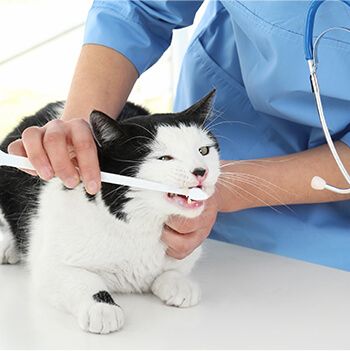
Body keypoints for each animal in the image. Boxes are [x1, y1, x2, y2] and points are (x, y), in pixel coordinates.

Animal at [0, 89, 219, 334]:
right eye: (164, 158)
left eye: (204, 150)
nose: (201, 171)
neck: (139, 227)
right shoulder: (49, 265)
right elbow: (83, 281)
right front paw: (102, 308)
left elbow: (173, 271)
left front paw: (179, 284)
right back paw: (9, 247)